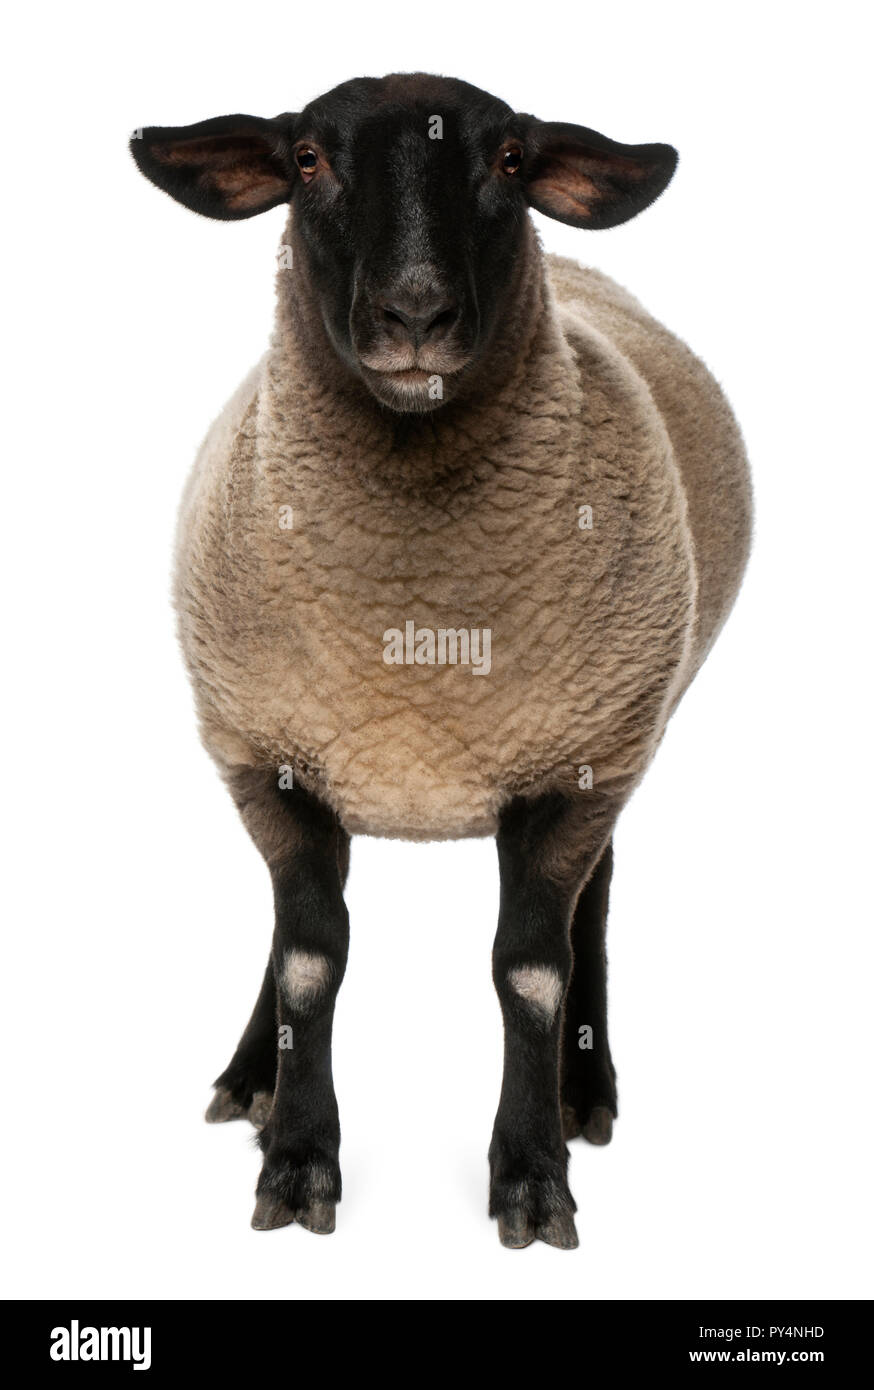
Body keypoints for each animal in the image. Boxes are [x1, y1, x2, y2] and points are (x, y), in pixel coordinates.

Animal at [130, 72, 752, 1250]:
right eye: (308, 161)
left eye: (510, 160)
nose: (414, 315)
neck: (415, 623)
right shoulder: (267, 752)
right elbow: (309, 957)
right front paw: (295, 1160)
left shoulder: (574, 766)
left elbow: (531, 971)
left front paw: (532, 1176)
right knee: (299, 923)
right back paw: (251, 1076)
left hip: (626, 725)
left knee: (593, 905)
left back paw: (585, 1087)